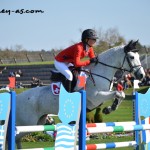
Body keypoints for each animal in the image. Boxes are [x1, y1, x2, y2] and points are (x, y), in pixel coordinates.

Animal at [14, 40, 144, 149]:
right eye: (132, 57)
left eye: (138, 56)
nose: (141, 75)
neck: (99, 73)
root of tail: (18, 98)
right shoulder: (96, 97)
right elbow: (118, 93)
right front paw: (108, 109)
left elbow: (120, 94)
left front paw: (109, 108)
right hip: (28, 123)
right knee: (15, 136)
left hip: (38, 122)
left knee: (17, 139)